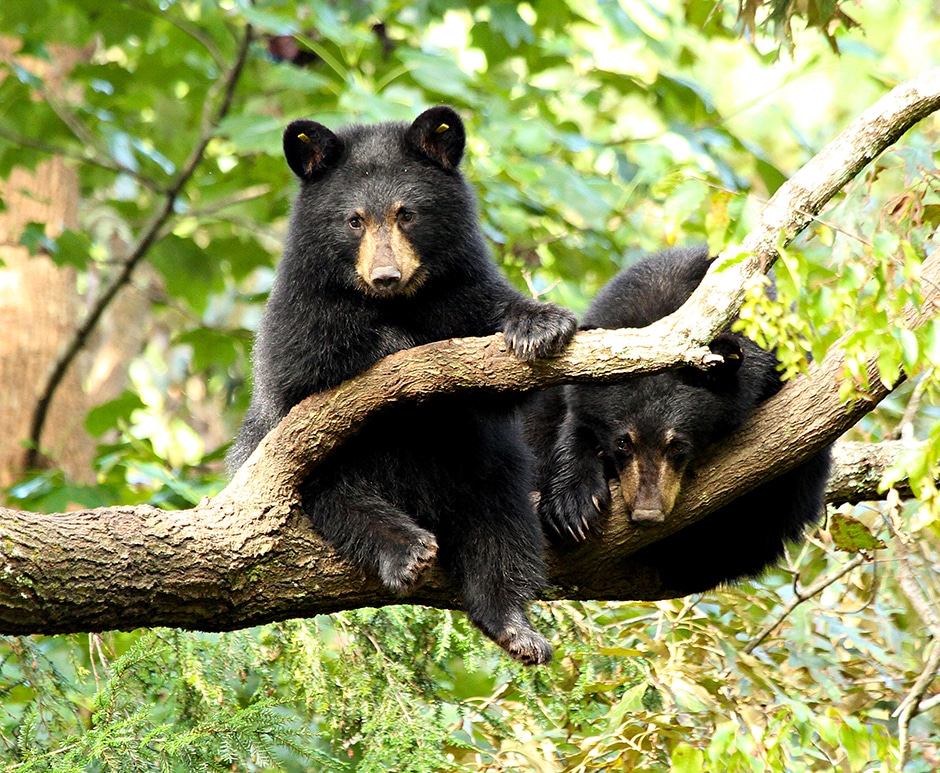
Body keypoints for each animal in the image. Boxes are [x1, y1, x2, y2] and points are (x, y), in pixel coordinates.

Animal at [227, 106, 577, 665]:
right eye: (354, 220)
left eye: (406, 214)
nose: (385, 275)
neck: (401, 303)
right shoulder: (300, 309)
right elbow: (307, 359)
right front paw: (395, 344)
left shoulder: (463, 290)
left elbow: (497, 338)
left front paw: (540, 323)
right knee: (340, 496)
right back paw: (407, 549)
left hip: (485, 468)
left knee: (502, 523)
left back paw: (515, 625)